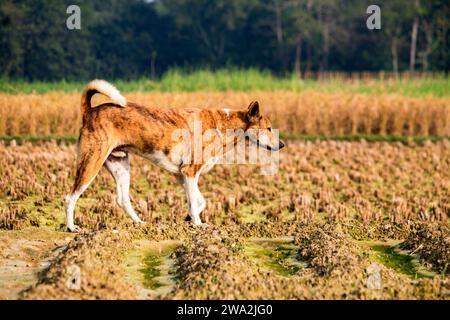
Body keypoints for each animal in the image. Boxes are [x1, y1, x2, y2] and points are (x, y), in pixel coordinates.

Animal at [65, 79, 284, 231]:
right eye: (268, 128)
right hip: (91, 163)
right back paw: (71, 227)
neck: (224, 125)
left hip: (121, 167)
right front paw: (198, 224)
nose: (282, 145)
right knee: (70, 197)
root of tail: (89, 111)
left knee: (123, 199)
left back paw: (140, 223)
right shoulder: (190, 172)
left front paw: (189, 218)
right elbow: (196, 203)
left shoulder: (182, 175)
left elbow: (199, 201)